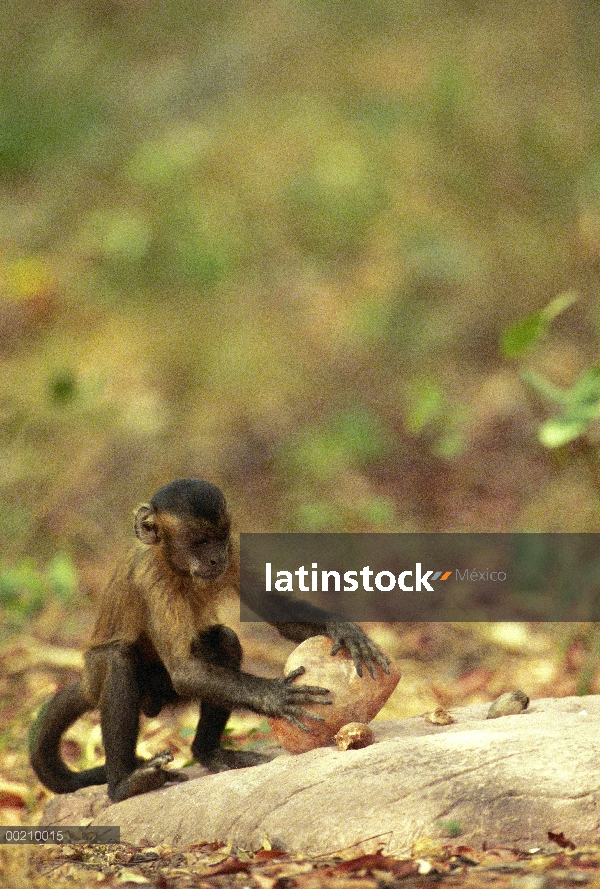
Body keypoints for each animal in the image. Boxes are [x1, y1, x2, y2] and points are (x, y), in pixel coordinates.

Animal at [30, 482, 392, 800]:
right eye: (200, 542)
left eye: (219, 540)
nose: (216, 558)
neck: (173, 565)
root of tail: (87, 681)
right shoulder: (154, 579)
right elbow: (185, 671)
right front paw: (273, 696)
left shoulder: (235, 552)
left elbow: (276, 614)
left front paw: (345, 631)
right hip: (107, 674)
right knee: (118, 659)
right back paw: (123, 784)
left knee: (225, 641)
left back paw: (207, 753)